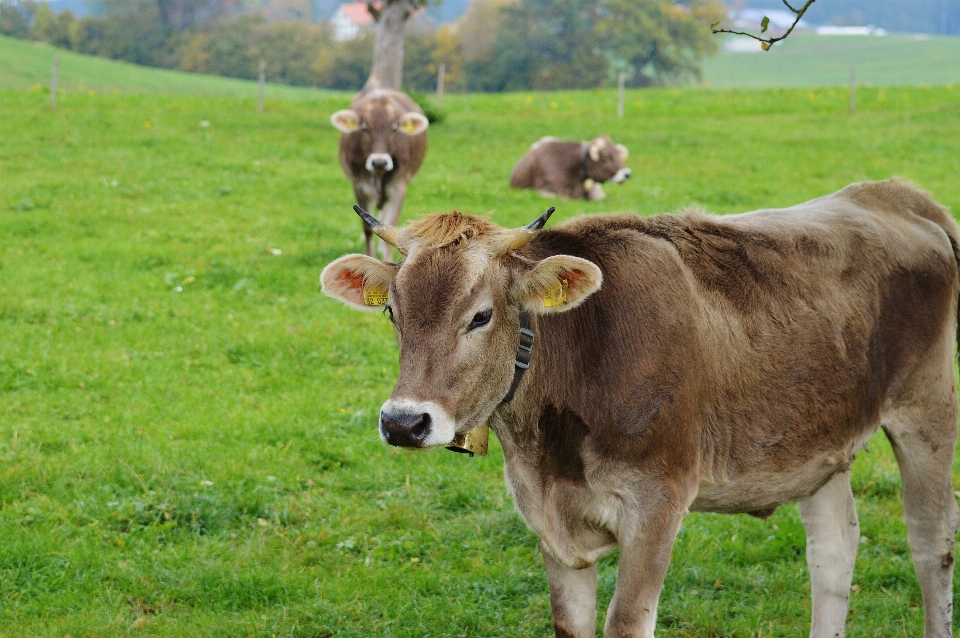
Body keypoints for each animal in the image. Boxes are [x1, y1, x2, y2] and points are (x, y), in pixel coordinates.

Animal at [320, 181, 960, 638]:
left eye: (480, 315)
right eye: (394, 312)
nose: (404, 422)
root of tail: (895, 193)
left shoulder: (659, 500)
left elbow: (627, 623)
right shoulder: (549, 516)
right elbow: (570, 624)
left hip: (927, 407)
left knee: (931, 544)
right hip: (817, 441)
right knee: (833, 552)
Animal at [330, 80, 428, 260]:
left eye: (394, 129)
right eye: (364, 128)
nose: (379, 162)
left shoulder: (398, 186)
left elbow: (390, 224)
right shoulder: (359, 185)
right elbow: (367, 229)